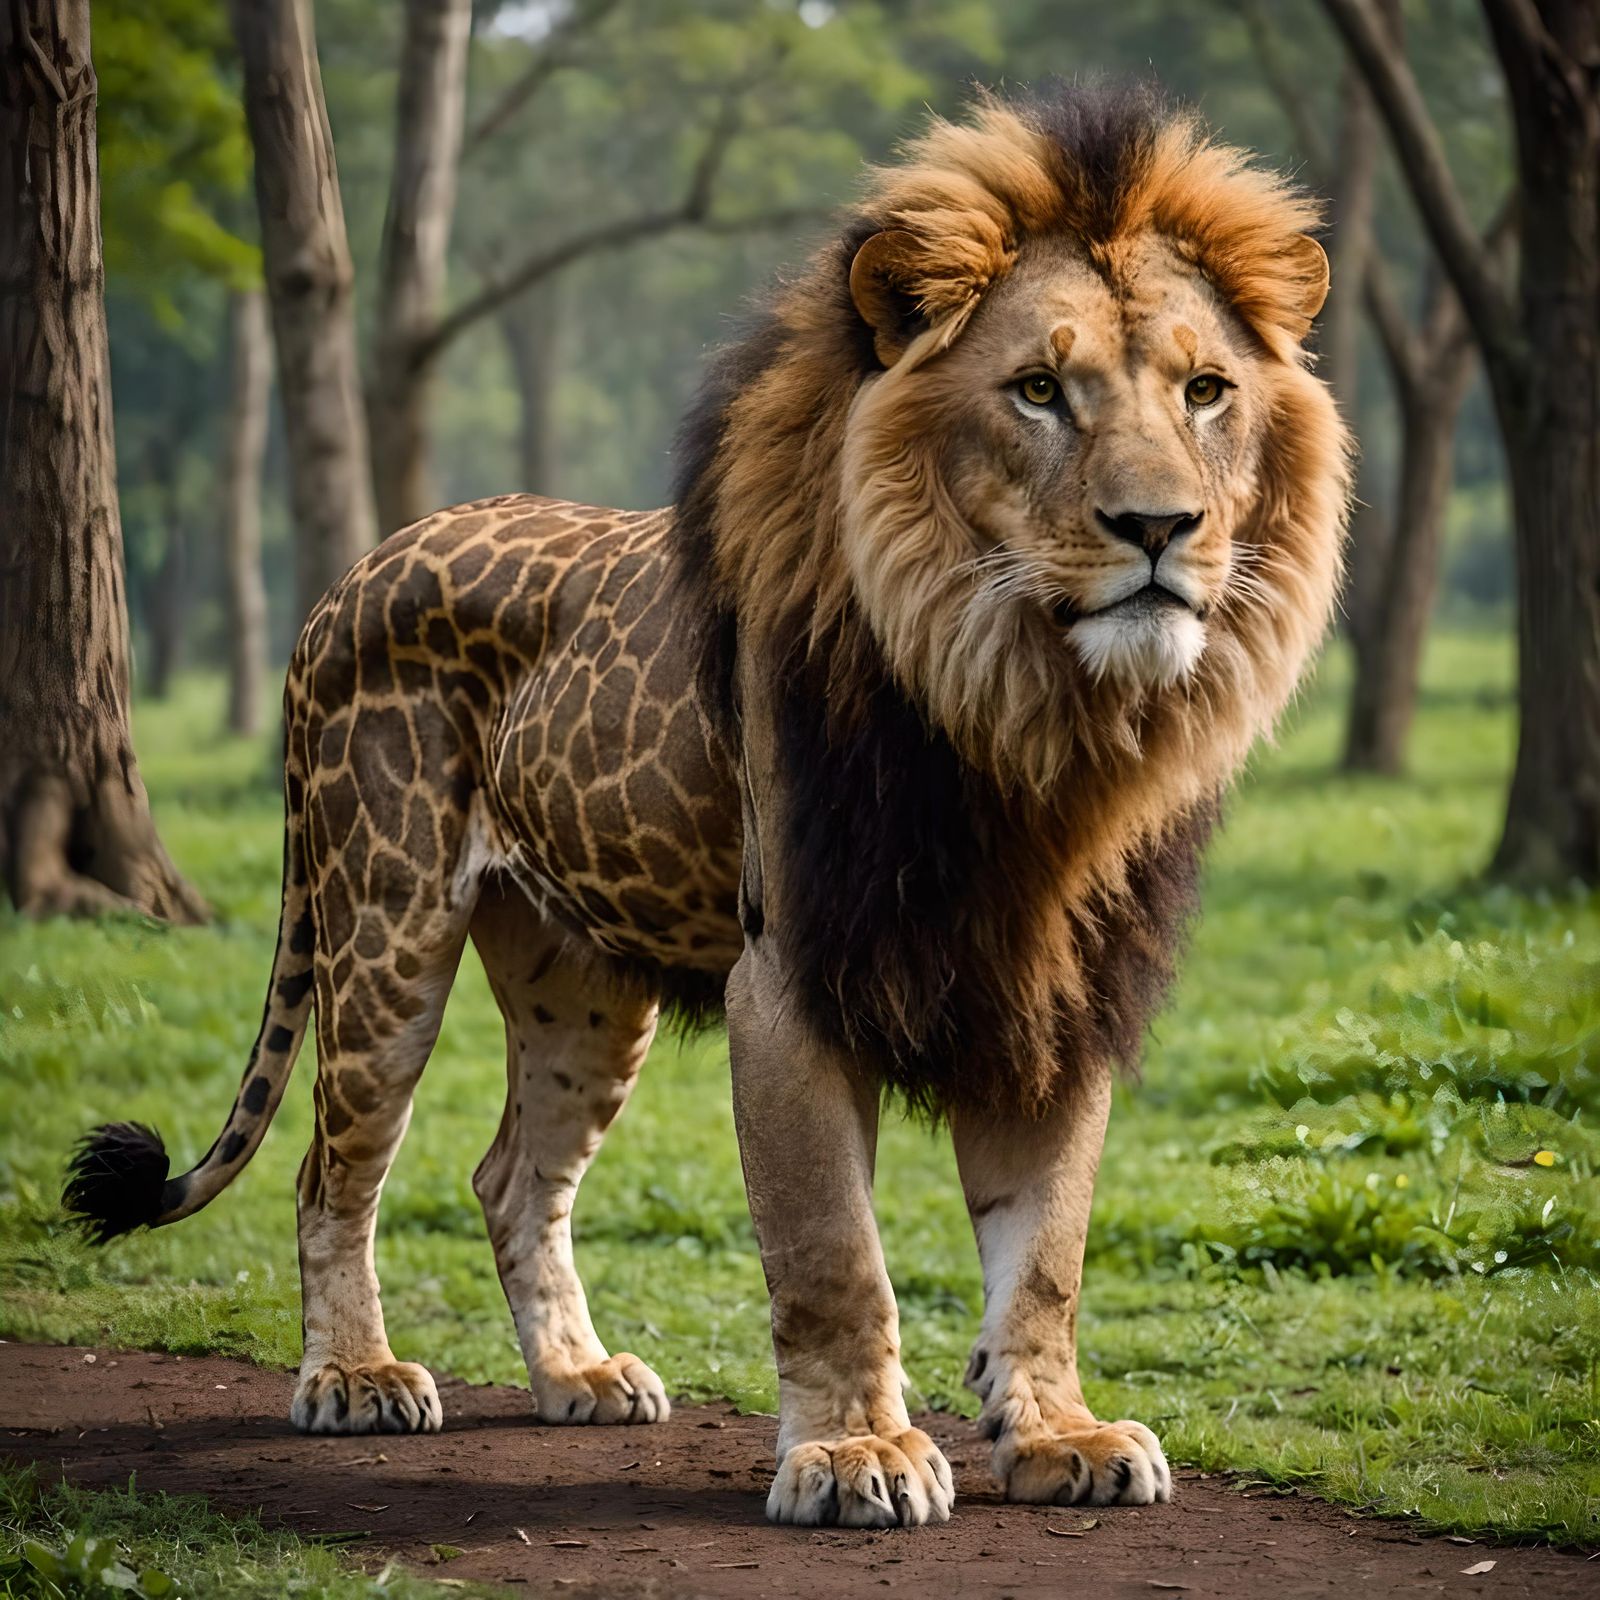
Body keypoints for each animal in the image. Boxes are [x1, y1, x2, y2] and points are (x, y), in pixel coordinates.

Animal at [66, 82, 1347, 1527]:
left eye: (1205, 391)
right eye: (1037, 391)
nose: (1160, 527)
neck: (1027, 717)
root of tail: (355, 570)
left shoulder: (1053, 988)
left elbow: (1047, 1255)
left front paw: (1058, 1436)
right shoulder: (787, 975)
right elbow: (833, 1252)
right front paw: (855, 1454)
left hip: (580, 984)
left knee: (511, 1178)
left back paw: (577, 1376)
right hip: (385, 924)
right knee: (330, 1171)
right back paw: (355, 1376)